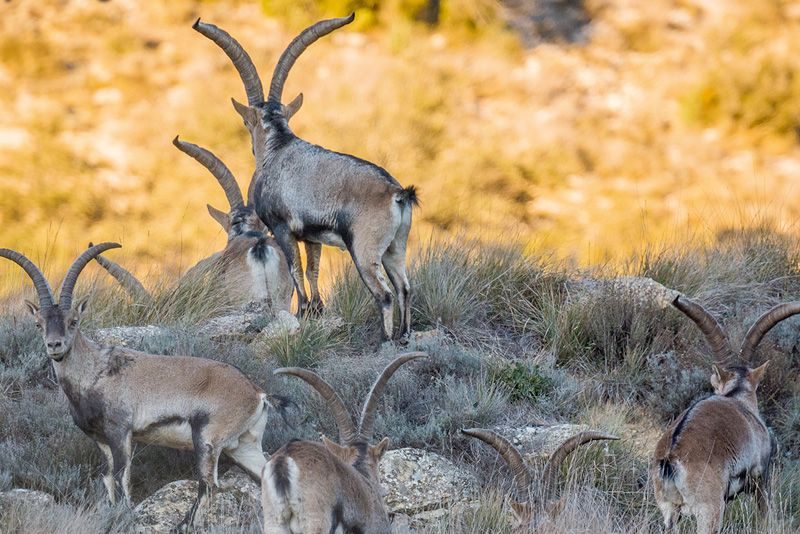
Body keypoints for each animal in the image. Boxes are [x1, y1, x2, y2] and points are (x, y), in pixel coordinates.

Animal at [0, 243, 289, 531]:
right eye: (39, 323)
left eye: (73, 321)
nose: (55, 345)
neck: (94, 372)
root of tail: (258, 394)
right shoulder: (101, 440)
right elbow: (107, 478)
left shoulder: (121, 431)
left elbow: (122, 477)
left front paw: (126, 516)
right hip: (244, 446)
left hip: (207, 438)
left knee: (209, 486)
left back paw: (184, 525)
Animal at [194, 15, 418, 340]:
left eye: (247, 123)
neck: (278, 147)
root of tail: (397, 194)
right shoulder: (313, 235)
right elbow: (312, 270)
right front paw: (316, 310)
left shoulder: (282, 228)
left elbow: (296, 271)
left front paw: (302, 312)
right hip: (395, 247)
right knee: (404, 288)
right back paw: (404, 336)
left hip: (364, 250)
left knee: (385, 294)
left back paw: (386, 339)